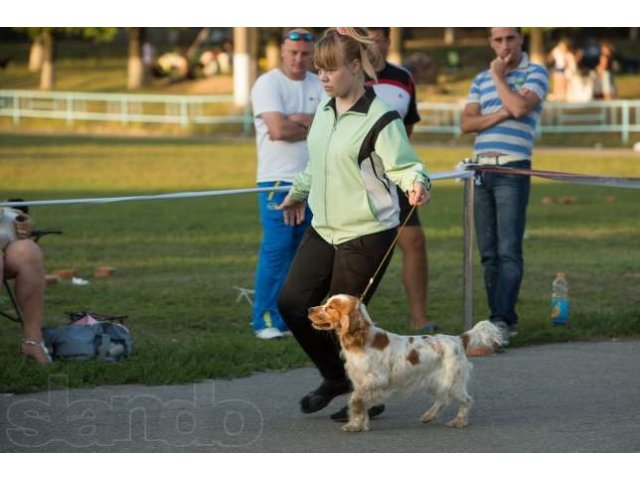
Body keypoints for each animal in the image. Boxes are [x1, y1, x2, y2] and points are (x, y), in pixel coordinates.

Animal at [308, 294, 502, 434]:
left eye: (330, 307)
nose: (309, 308)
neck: (361, 340)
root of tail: (460, 339)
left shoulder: (375, 380)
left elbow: (355, 400)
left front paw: (353, 426)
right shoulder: (360, 381)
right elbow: (360, 404)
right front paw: (359, 424)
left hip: (453, 382)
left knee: (466, 401)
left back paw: (459, 421)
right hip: (436, 382)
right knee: (442, 400)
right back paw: (428, 416)